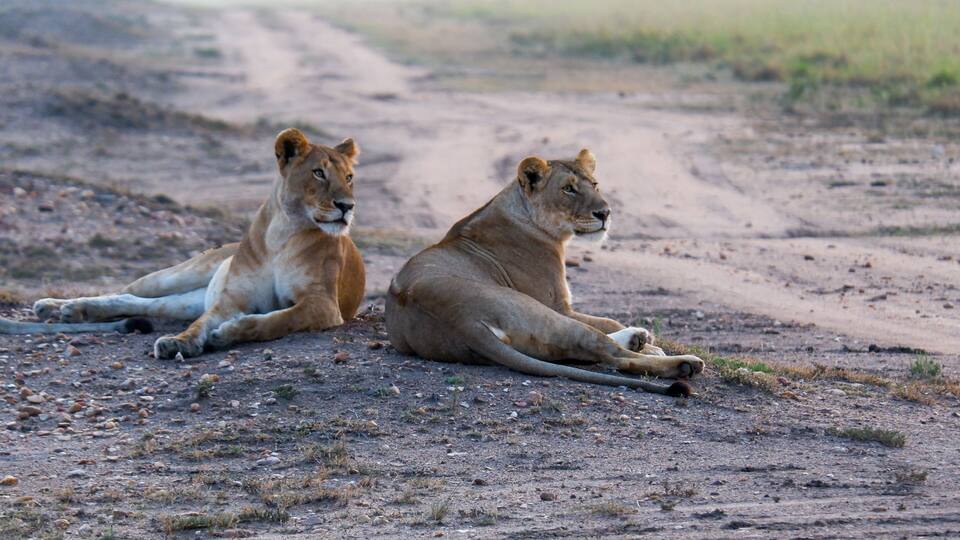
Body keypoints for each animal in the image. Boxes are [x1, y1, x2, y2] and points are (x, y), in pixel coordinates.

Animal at [10, 128, 365, 359]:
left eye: (349, 177)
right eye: (318, 173)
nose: (347, 206)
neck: (284, 231)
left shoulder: (323, 304)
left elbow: (277, 319)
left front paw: (228, 333)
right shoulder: (233, 297)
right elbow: (201, 324)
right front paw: (180, 342)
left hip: (186, 298)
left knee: (142, 303)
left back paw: (69, 310)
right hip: (177, 275)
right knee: (128, 291)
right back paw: (58, 306)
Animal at [385, 149, 704, 396]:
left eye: (595, 184)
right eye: (568, 189)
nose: (605, 213)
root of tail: (461, 322)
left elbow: (608, 320)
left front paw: (644, 339)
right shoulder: (558, 305)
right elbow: (606, 323)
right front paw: (652, 346)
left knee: (586, 352)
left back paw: (638, 340)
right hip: (540, 312)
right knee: (609, 354)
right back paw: (683, 363)